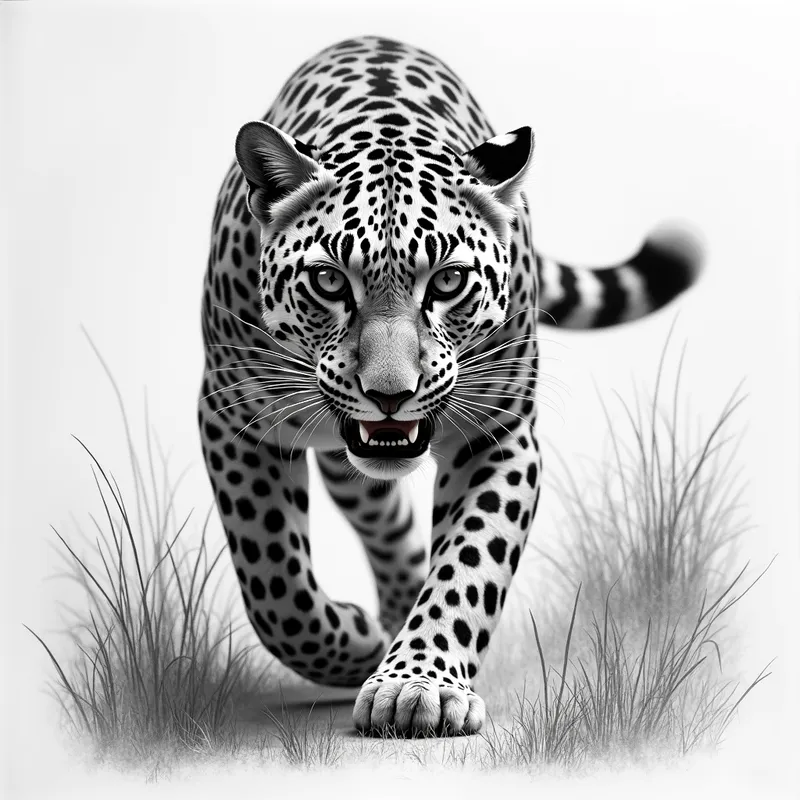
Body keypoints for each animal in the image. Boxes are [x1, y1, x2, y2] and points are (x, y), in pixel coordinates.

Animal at [198, 35, 702, 737]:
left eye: (447, 281)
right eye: (328, 281)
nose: (389, 393)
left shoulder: (500, 433)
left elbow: (470, 561)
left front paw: (417, 683)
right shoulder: (231, 418)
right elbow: (274, 582)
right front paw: (357, 644)